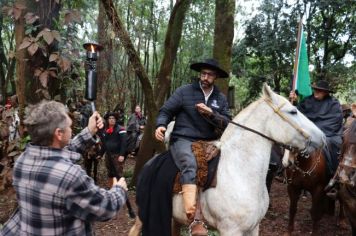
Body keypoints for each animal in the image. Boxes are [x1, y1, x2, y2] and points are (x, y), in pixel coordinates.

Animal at [130, 84, 326, 235]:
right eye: (293, 111)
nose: (322, 137)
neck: (240, 171)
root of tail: (149, 164)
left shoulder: (253, 228)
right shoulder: (231, 230)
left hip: (174, 219)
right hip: (143, 214)